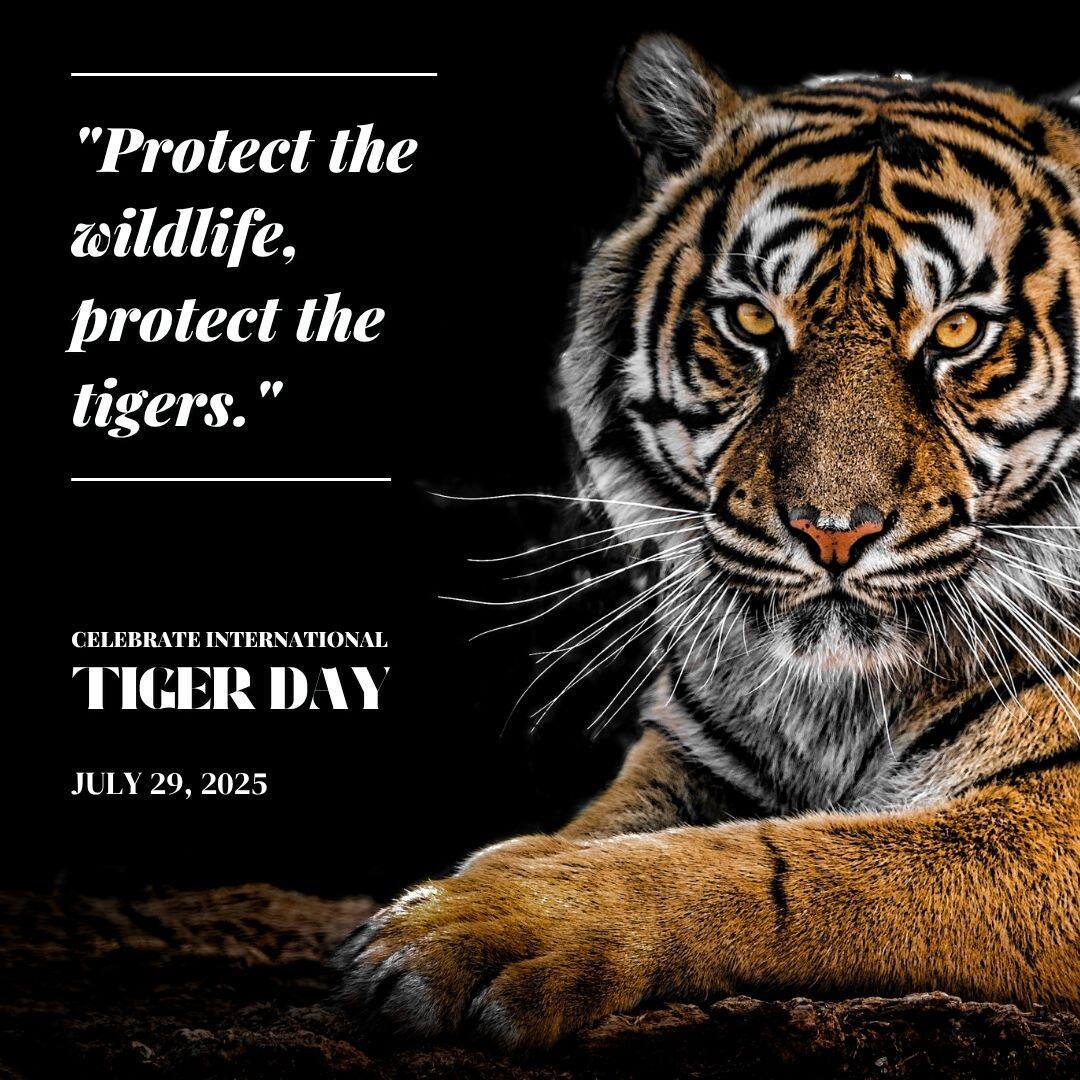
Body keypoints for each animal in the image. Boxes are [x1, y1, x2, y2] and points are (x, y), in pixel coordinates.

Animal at [334, 35, 1080, 1049]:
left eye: (960, 330)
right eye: (754, 320)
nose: (833, 533)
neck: (833, 702)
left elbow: (780, 868)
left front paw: (481, 924)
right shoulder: (691, 753)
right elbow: (608, 827)